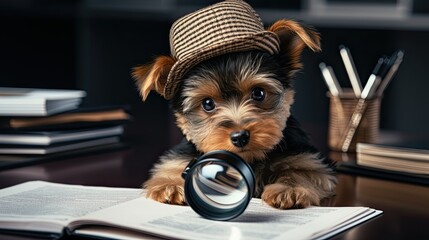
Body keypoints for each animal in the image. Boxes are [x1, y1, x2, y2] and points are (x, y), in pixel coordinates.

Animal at [132, 0, 336, 209]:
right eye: (207, 104)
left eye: (258, 93)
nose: (239, 136)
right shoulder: (182, 156)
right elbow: (172, 166)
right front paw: (170, 185)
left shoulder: (308, 159)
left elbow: (302, 171)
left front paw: (289, 189)